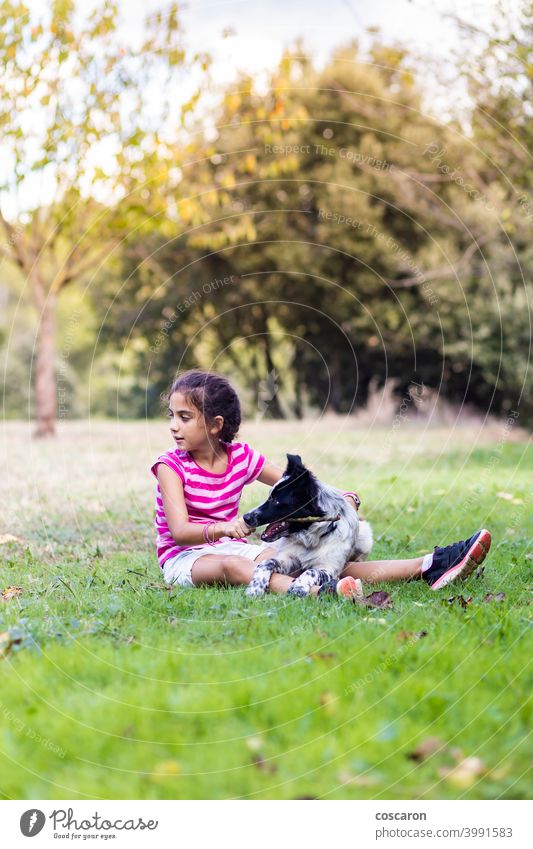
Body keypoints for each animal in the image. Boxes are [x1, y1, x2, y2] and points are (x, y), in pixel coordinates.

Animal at [243, 450, 372, 596]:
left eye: (275, 501)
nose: (245, 517)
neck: (310, 538)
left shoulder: (329, 568)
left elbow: (311, 571)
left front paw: (298, 588)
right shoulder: (287, 558)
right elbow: (265, 563)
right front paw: (255, 587)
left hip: (365, 538)